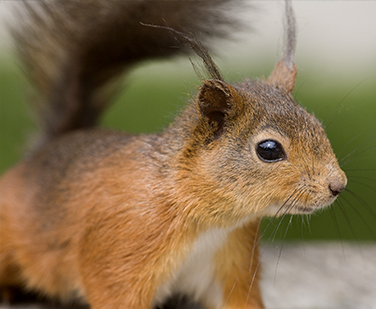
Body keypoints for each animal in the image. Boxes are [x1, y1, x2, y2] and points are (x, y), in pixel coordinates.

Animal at [0, 0, 346, 308]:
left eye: (317, 124)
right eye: (269, 150)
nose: (338, 185)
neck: (209, 222)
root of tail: (42, 152)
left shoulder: (230, 265)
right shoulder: (120, 255)